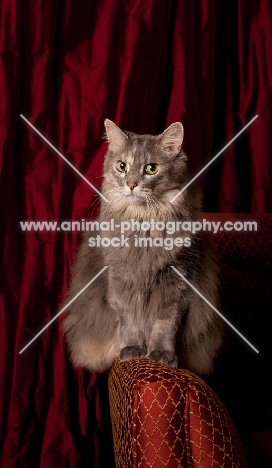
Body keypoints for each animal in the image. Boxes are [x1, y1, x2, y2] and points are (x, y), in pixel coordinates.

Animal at [62, 119, 224, 376]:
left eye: (151, 168)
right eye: (122, 166)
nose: (131, 184)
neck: (144, 225)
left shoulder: (176, 282)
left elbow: (164, 325)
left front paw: (161, 355)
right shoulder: (120, 281)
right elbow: (130, 322)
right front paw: (132, 351)